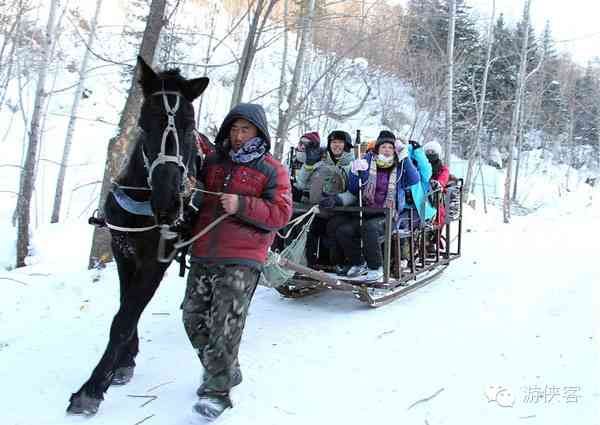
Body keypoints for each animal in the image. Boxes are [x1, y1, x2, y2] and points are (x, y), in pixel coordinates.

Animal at [66, 56, 209, 414]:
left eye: (189, 126)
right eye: (144, 124)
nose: (169, 203)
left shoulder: (157, 260)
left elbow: (126, 316)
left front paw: (91, 388)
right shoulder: (123, 250)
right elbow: (125, 306)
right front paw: (125, 361)